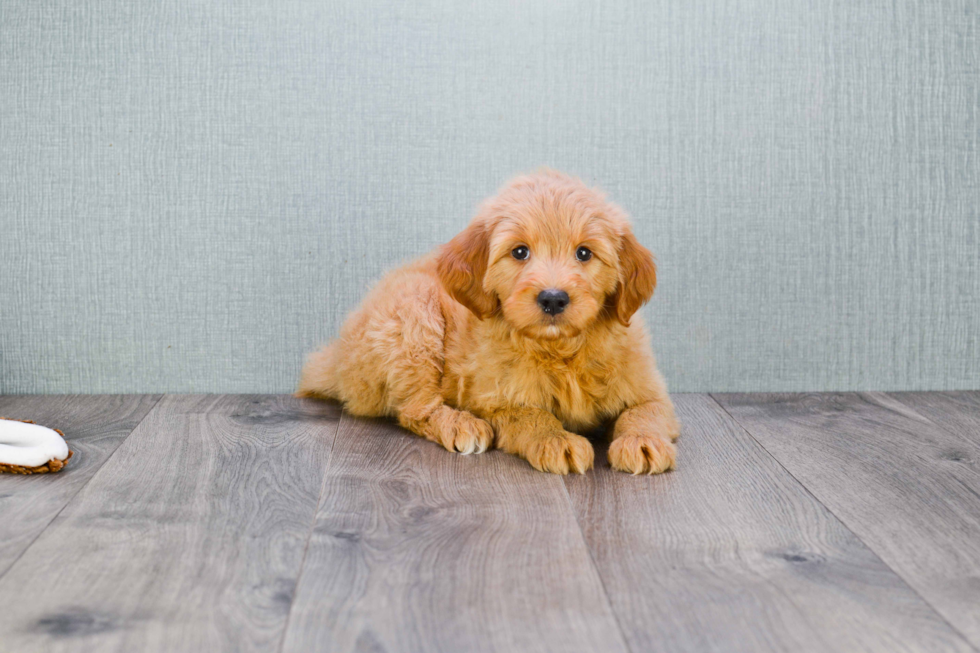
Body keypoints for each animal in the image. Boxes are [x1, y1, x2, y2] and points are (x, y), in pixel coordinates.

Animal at [298, 168, 680, 474]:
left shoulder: (649, 388)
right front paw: (556, 440)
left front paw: (642, 442)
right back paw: (460, 425)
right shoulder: (492, 400)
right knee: (414, 409)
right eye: (520, 252)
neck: (561, 350)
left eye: (584, 253)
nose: (553, 298)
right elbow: (532, 415)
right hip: (413, 316)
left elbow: (643, 412)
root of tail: (336, 356)